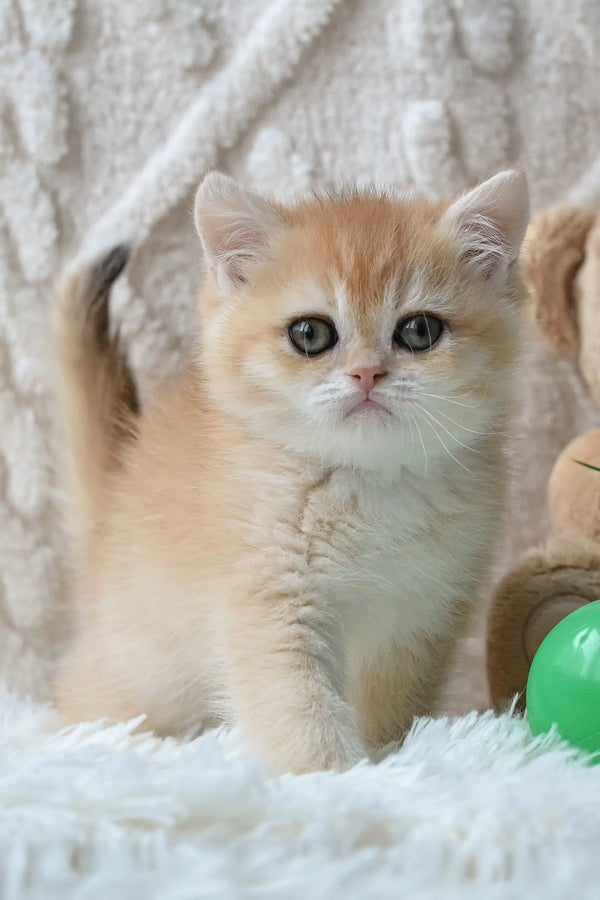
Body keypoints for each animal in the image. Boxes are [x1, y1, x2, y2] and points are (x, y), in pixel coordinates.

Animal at [54, 169, 528, 772]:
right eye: (311, 334)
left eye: (420, 331)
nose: (367, 373)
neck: (366, 488)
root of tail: (116, 502)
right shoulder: (270, 596)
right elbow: (296, 700)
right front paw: (334, 772)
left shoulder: (422, 614)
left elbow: (392, 698)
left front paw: (387, 754)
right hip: (141, 664)